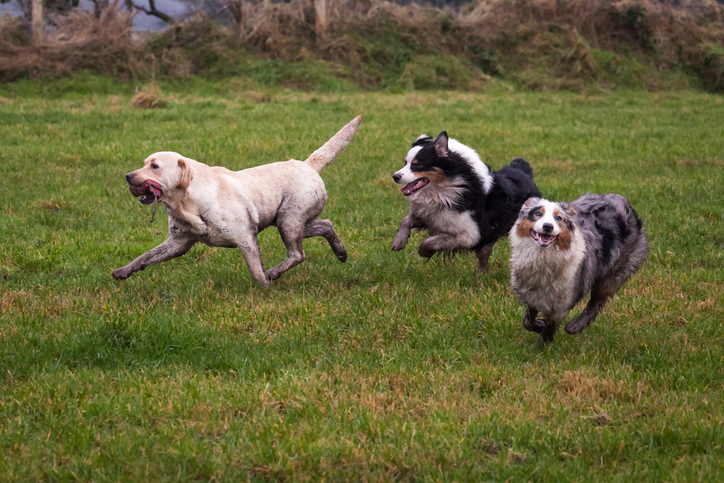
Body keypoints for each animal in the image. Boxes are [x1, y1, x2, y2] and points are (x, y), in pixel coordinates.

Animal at [112, 116, 362, 288]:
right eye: (144, 163)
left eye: (154, 166)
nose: (127, 176)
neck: (186, 206)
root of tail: (309, 164)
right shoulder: (178, 243)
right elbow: (145, 256)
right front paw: (123, 271)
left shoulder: (246, 238)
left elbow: (256, 271)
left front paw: (264, 289)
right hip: (293, 222)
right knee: (326, 225)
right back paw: (341, 253)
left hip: (289, 221)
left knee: (297, 254)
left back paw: (274, 273)